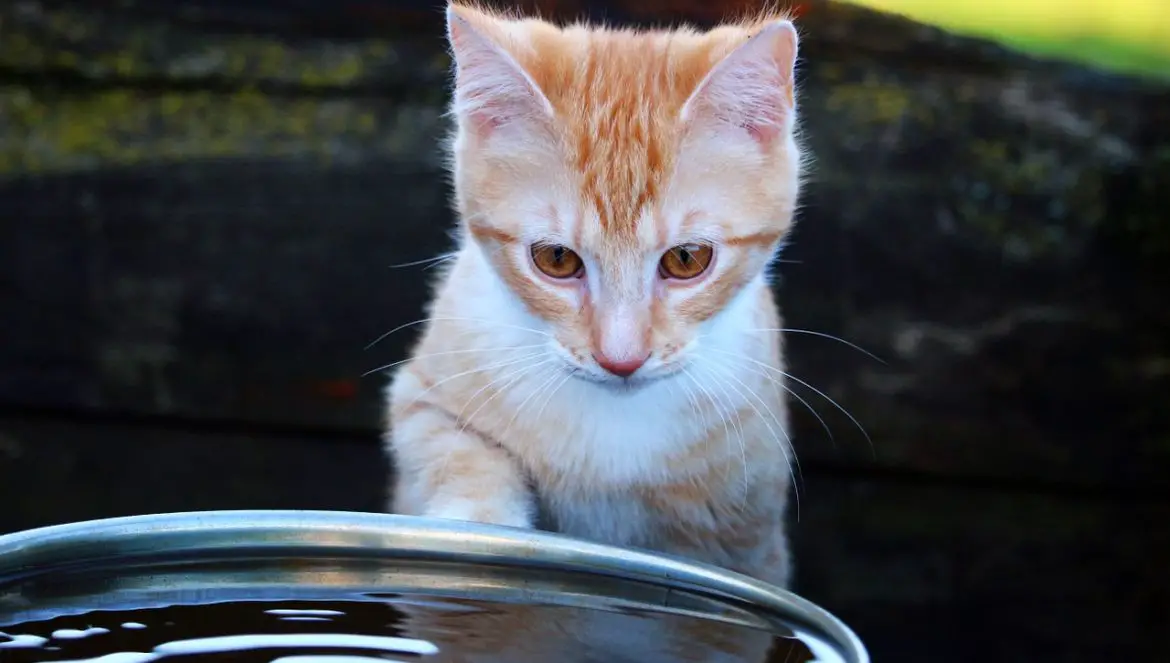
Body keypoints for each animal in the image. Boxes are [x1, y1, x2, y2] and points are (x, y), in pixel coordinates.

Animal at [383, 2, 804, 589]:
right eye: (557, 260)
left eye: (687, 259)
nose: (620, 359)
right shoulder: (425, 394)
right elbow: (456, 453)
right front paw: (480, 533)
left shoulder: (749, 524)